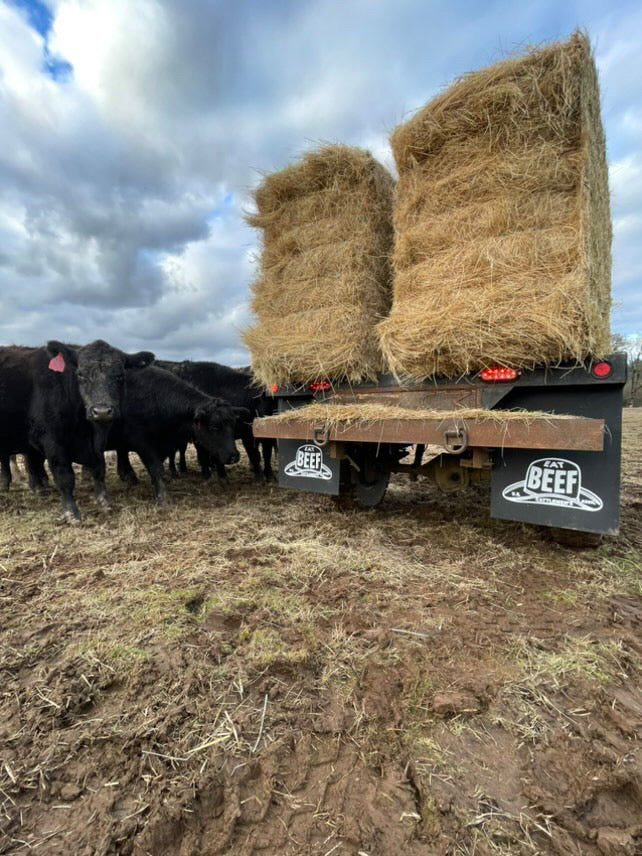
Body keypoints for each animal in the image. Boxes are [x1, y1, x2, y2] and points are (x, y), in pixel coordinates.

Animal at [0, 340, 154, 523]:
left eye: (120, 376)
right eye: (80, 375)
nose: (102, 411)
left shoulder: (97, 442)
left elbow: (99, 469)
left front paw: (104, 501)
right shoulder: (52, 440)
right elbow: (64, 477)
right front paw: (71, 512)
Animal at [109, 365, 246, 501]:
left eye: (233, 424)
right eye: (214, 427)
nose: (234, 456)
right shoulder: (142, 443)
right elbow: (156, 467)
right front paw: (162, 496)